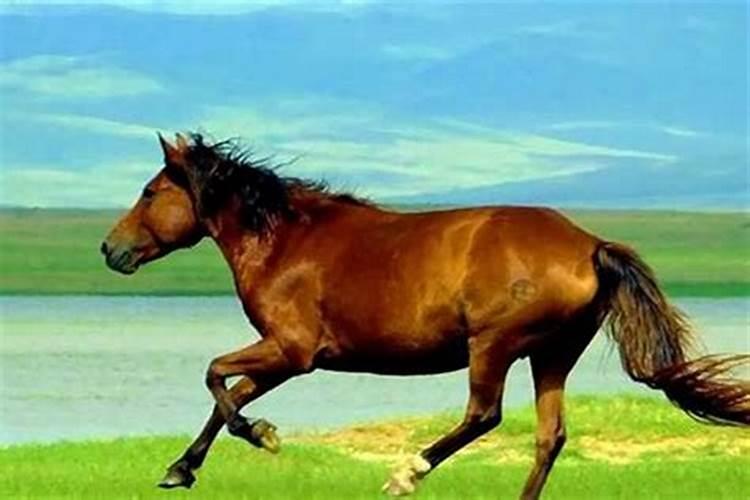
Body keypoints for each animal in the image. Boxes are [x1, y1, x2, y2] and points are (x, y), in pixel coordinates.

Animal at [101, 133, 749, 499]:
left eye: (150, 192)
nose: (111, 250)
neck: (285, 242)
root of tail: (589, 245)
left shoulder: (292, 350)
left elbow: (217, 379)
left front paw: (263, 436)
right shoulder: (286, 357)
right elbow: (227, 397)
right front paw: (181, 469)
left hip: (494, 344)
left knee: (484, 415)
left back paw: (405, 473)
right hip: (553, 353)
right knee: (549, 437)